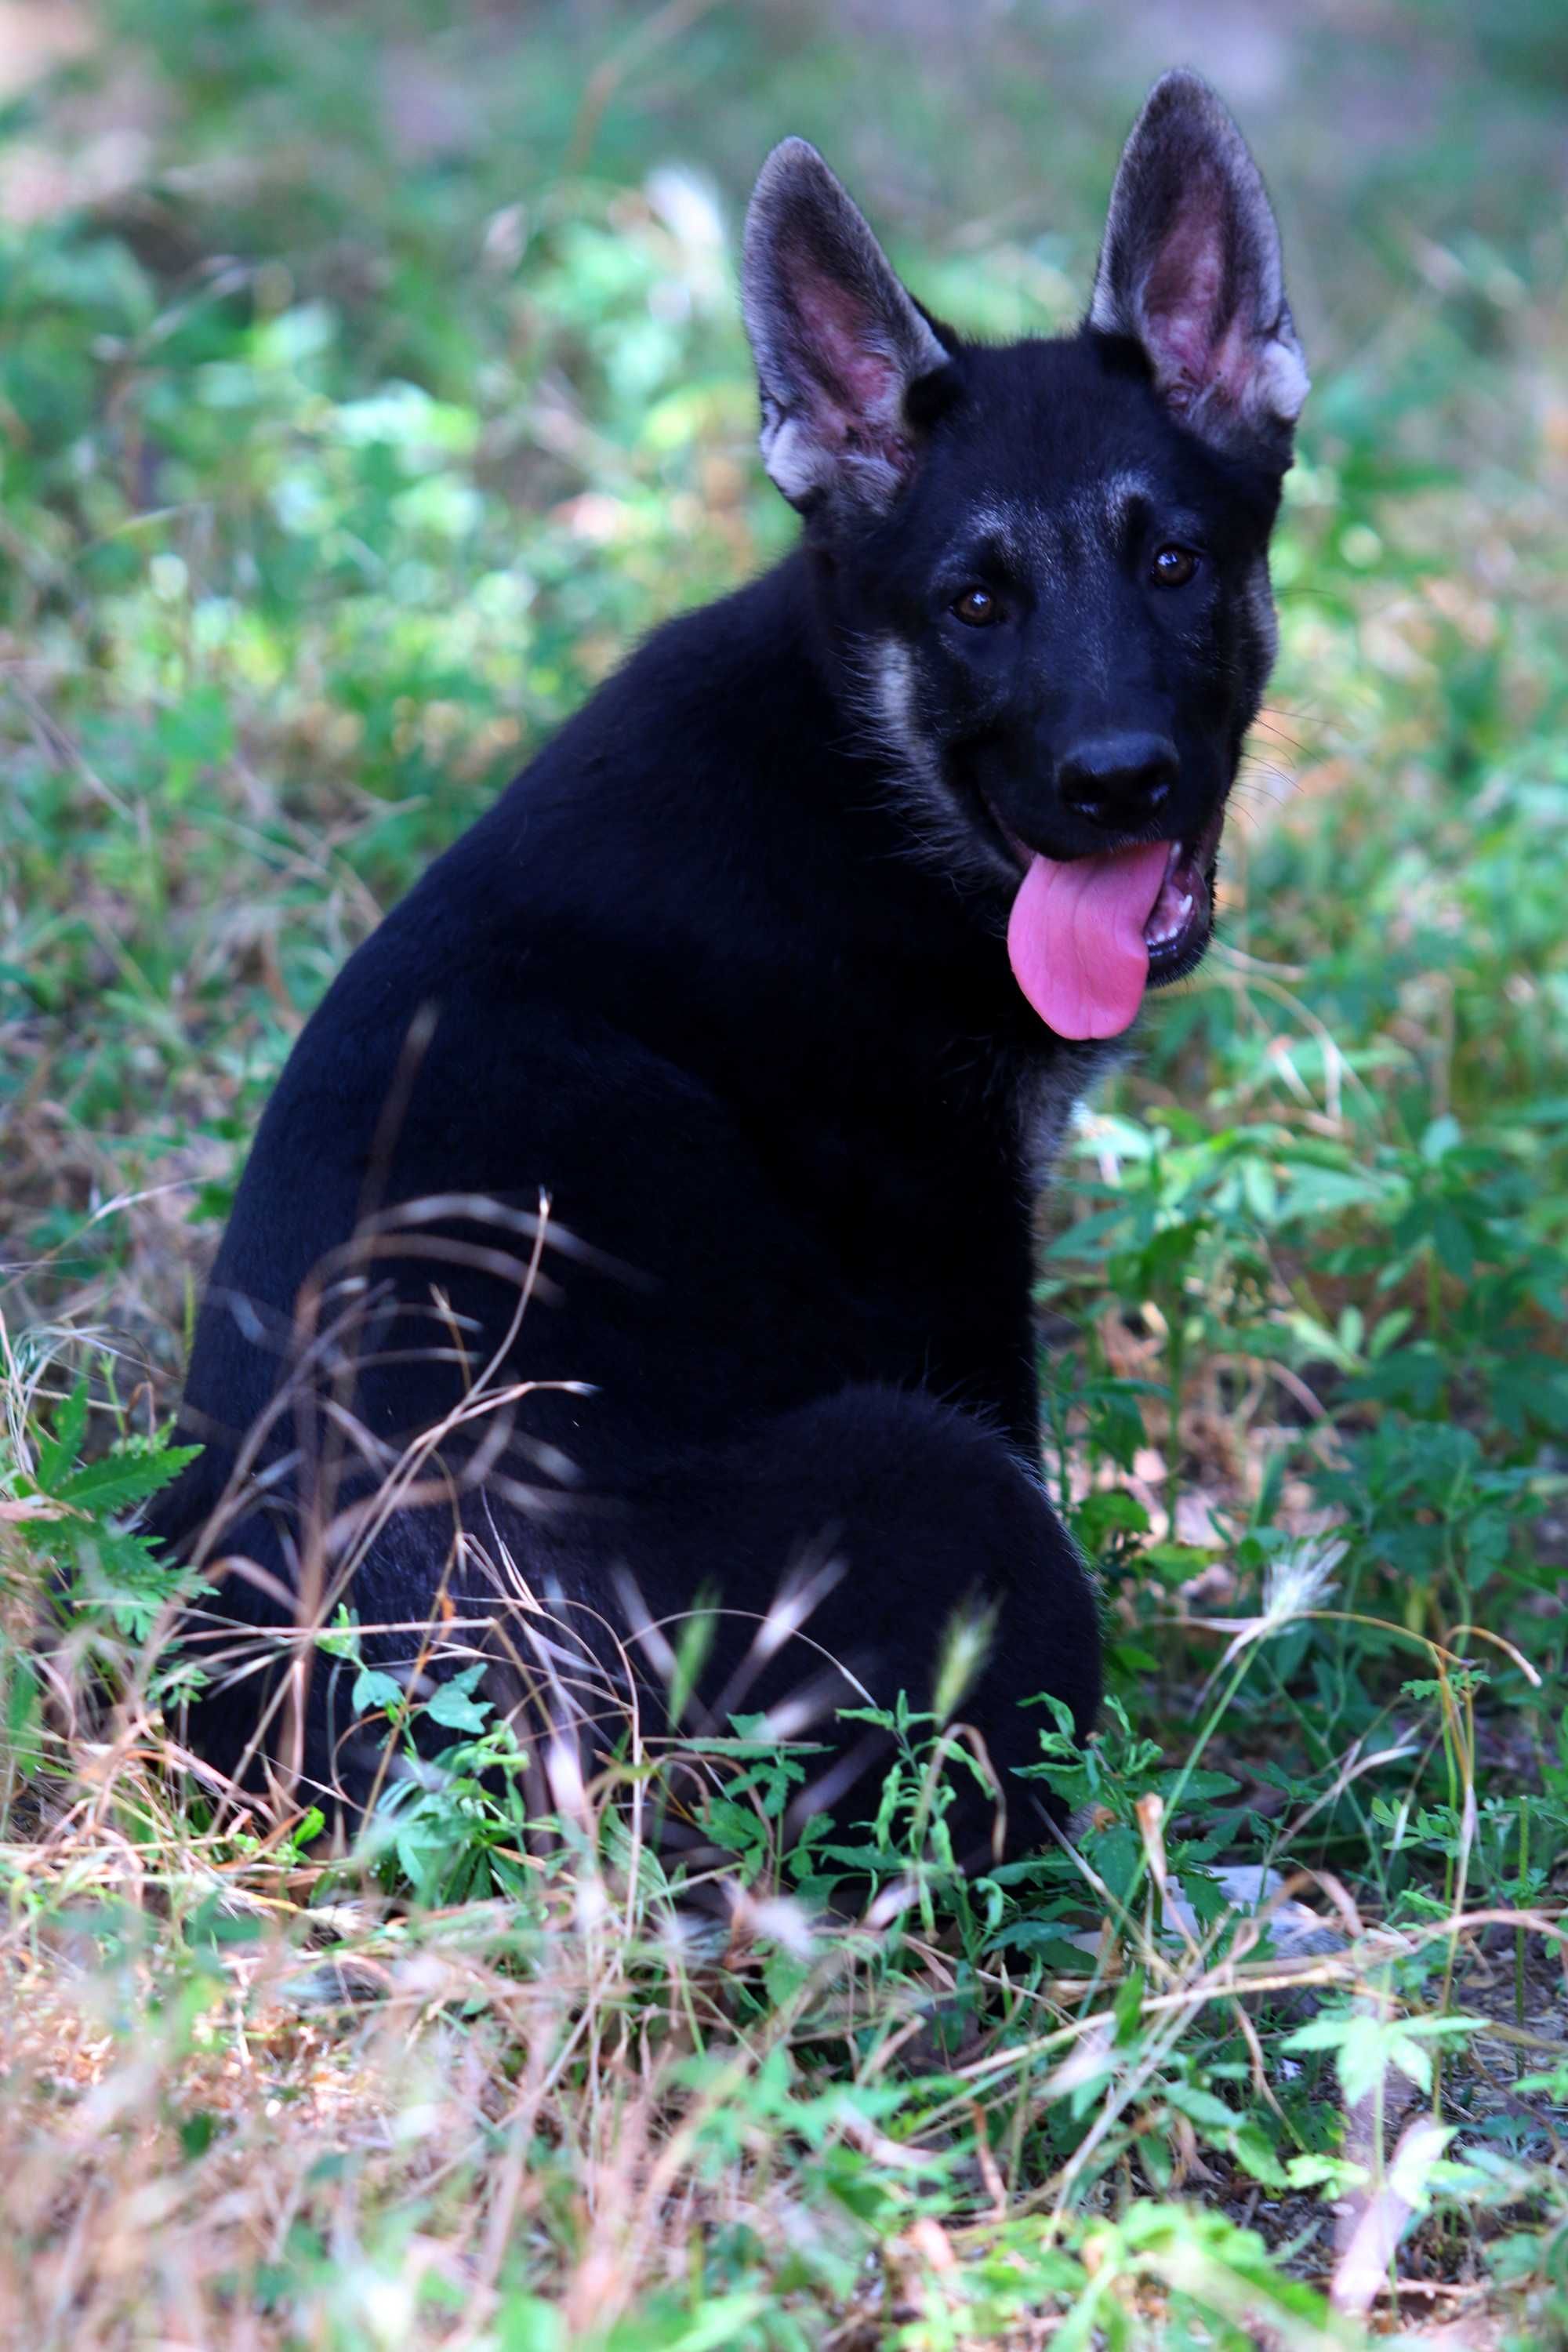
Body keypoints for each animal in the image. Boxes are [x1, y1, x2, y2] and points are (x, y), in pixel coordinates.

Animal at [152, 73, 1316, 1863]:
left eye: (1176, 565)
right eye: (974, 603)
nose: (1119, 783)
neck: (863, 770)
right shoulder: (947, 1279)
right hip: (937, 1479)